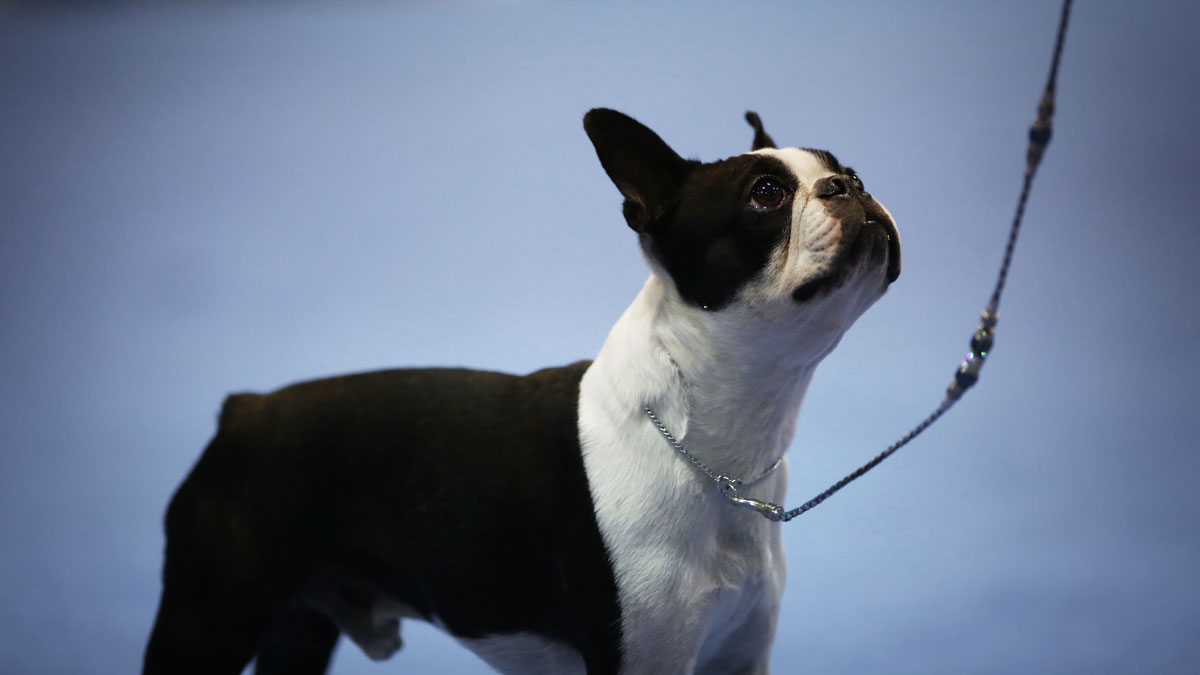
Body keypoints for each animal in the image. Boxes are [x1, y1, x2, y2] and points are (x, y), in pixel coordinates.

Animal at [142, 107, 902, 667]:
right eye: (765, 194)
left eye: (847, 171)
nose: (852, 187)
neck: (718, 449)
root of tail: (242, 410)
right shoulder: (643, 655)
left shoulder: (739, 654)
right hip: (208, 618)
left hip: (297, 622)